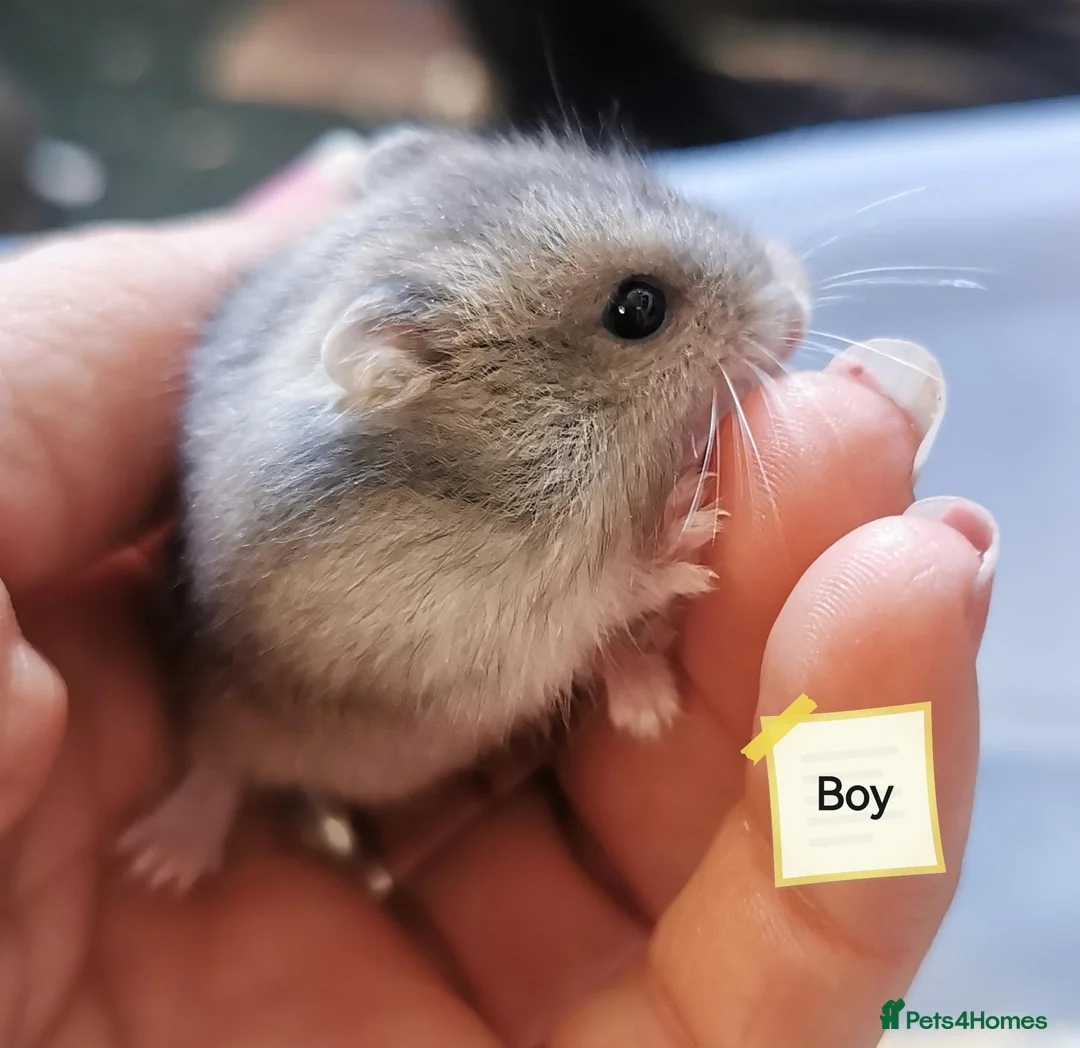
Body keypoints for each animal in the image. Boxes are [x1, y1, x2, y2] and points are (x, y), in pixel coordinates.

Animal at [119, 128, 810, 893]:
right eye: (637, 308)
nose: (800, 298)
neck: (508, 476)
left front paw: (654, 702)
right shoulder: (453, 618)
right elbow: (595, 597)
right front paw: (687, 526)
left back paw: (644, 701)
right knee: (217, 764)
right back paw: (160, 863)